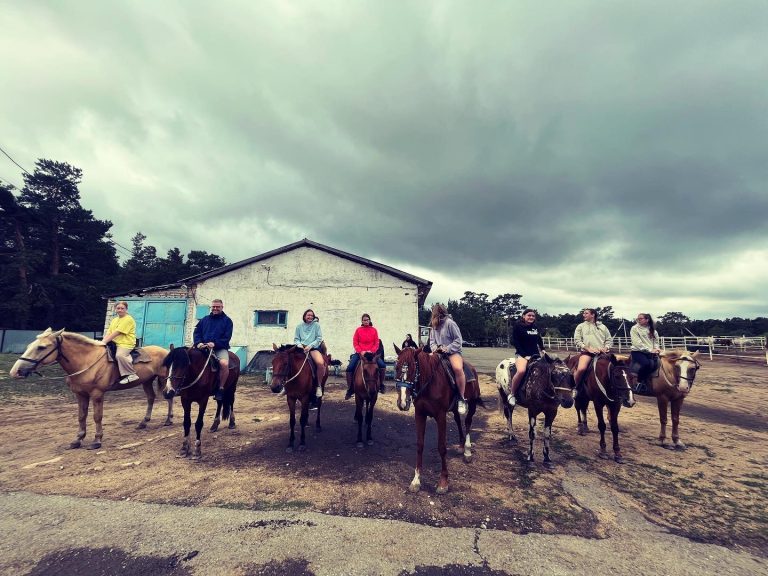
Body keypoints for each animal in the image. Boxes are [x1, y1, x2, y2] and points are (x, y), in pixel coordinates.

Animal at [9, 328, 172, 449]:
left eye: (41, 347)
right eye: (29, 346)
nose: (15, 372)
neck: (87, 361)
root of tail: (167, 351)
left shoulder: (97, 394)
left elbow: (97, 416)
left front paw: (97, 440)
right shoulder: (80, 394)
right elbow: (81, 416)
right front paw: (78, 439)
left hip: (166, 379)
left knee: (169, 397)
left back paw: (168, 420)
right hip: (147, 381)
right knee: (151, 398)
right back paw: (143, 423)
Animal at [393, 345, 482, 494]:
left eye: (413, 368)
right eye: (396, 367)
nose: (402, 403)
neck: (429, 382)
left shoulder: (440, 416)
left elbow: (441, 447)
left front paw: (443, 482)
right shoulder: (420, 414)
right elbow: (420, 445)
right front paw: (416, 481)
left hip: (472, 404)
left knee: (467, 422)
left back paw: (467, 451)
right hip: (454, 409)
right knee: (458, 421)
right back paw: (460, 446)